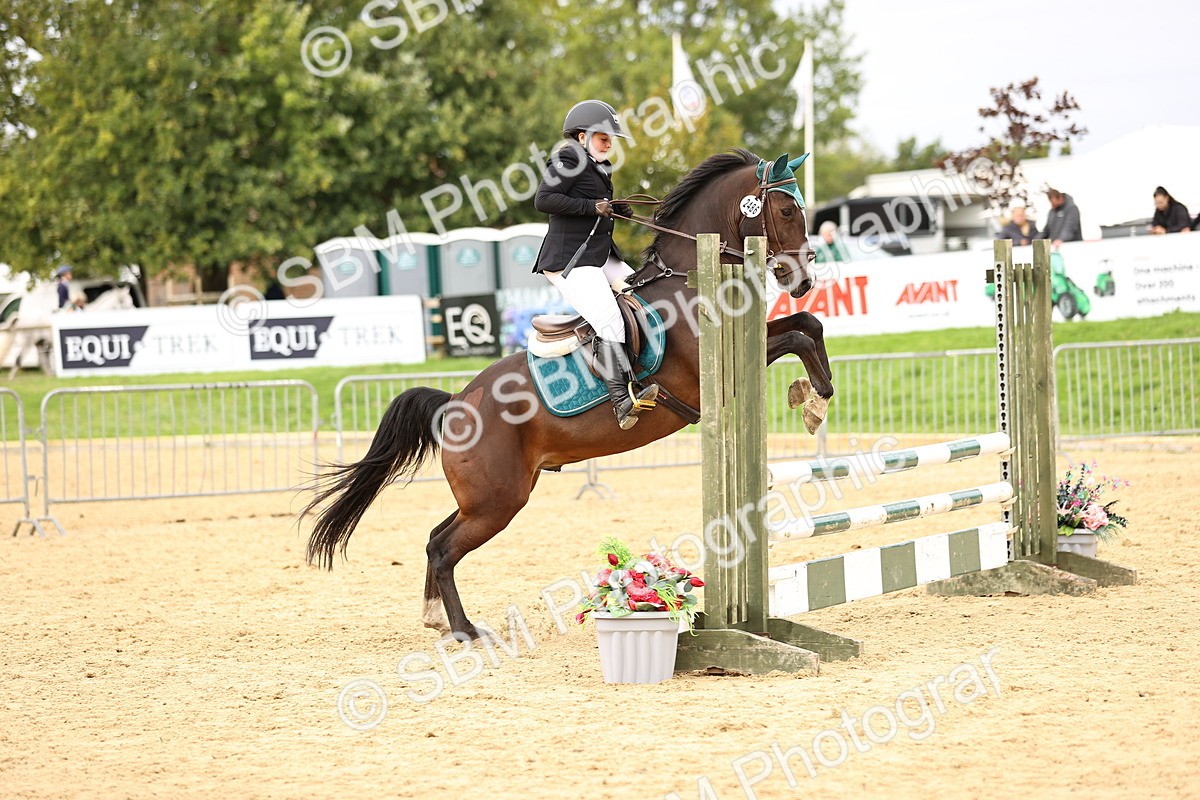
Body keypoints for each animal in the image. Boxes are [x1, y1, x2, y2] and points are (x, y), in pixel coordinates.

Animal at [304, 148, 835, 640]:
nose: (803, 279)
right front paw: (812, 399)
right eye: (786, 210)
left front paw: (816, 394)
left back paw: (436, 618)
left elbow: (807, 324)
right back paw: (464, 630)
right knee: (442, 548)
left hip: (488, 497)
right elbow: (796, 335)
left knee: (436, 536)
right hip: (497, 502)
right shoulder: (709, 377)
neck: (691, 283)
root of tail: (454, 403)